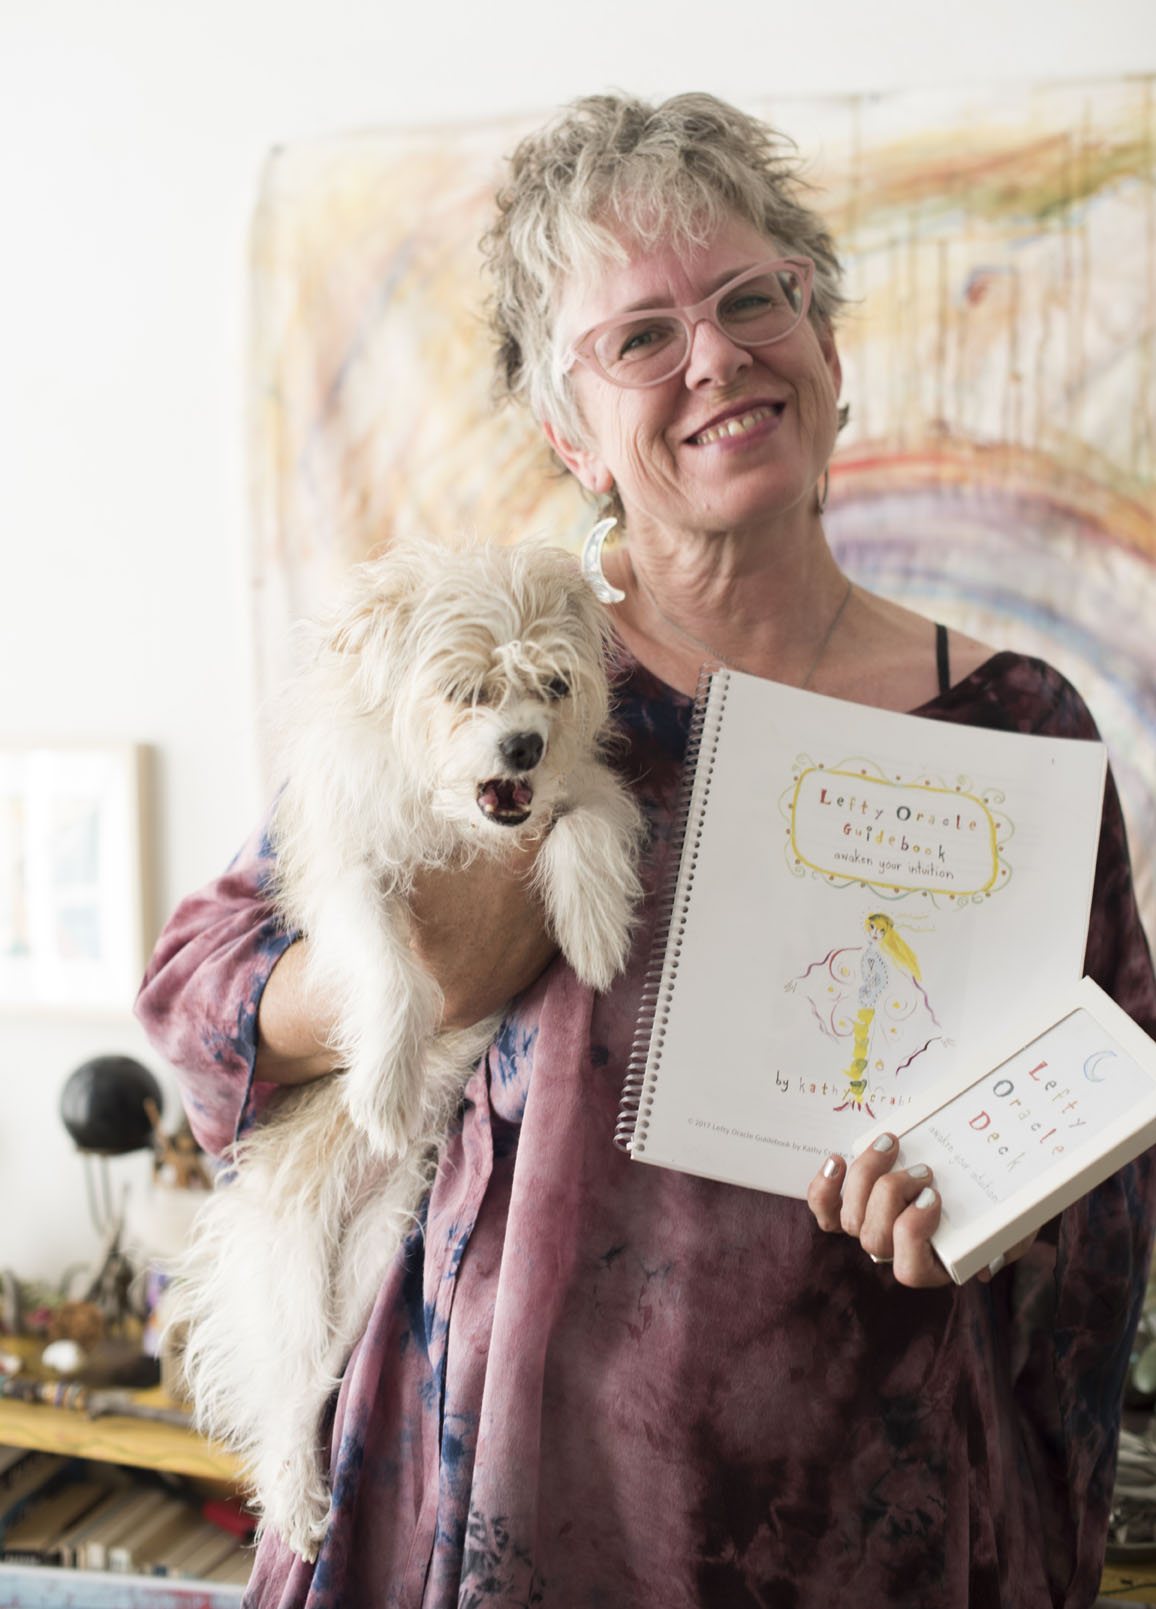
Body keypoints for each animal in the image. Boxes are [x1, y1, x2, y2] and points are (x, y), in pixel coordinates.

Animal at [171, 538, 645, 1561]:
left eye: (553, 686)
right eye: (467, 691)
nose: (525, 744)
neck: (457, 820)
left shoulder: (586, 790)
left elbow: (583, 824)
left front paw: (592, 928)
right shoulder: (348, 873)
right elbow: (391, 967)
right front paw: (384, 1086)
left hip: (371, 1259)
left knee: (319, 1379)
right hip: (292, 1273)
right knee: (282, 1398)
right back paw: (298, 1500)